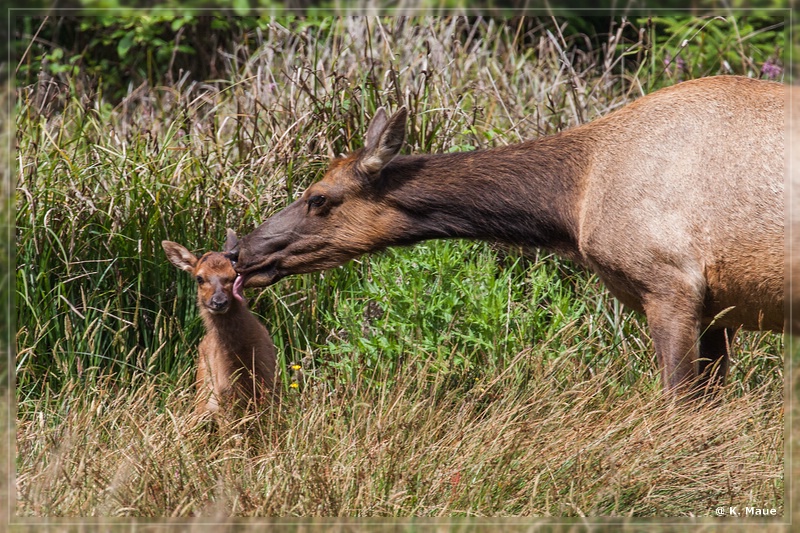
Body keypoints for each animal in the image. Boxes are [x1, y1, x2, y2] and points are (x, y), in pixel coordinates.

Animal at [161, 229, 276, 416]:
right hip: (202, 391)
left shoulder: (269, 380)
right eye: (199, 278)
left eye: (235, 276)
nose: (219, 302)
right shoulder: (224, 391)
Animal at [228, 78, 792, 394]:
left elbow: (678, 402)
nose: (239, 252)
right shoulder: (718, 308)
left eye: (319, 198)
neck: (572, 202)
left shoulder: (671, 284)